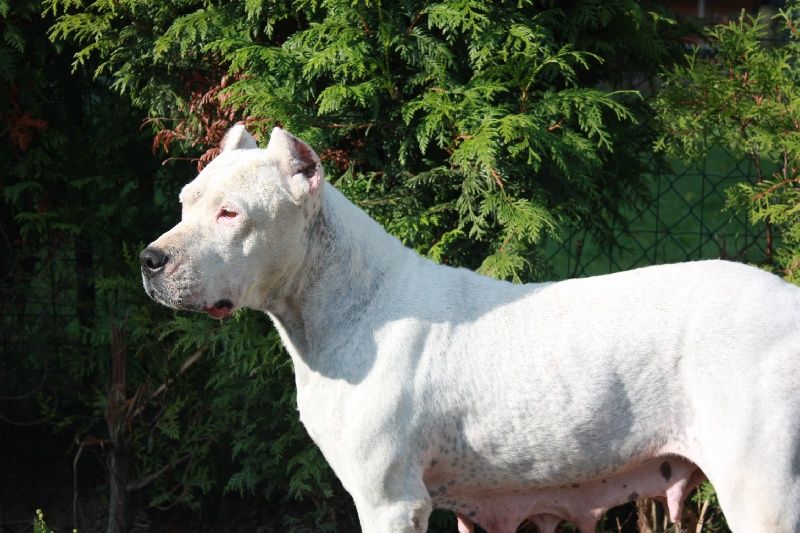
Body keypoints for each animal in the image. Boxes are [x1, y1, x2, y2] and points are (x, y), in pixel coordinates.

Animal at [142, 125, 800, 532]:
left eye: (231, 214)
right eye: (184, 201)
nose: (150, 259)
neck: (351, 304)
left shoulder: (391, 501)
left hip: (761, 488)